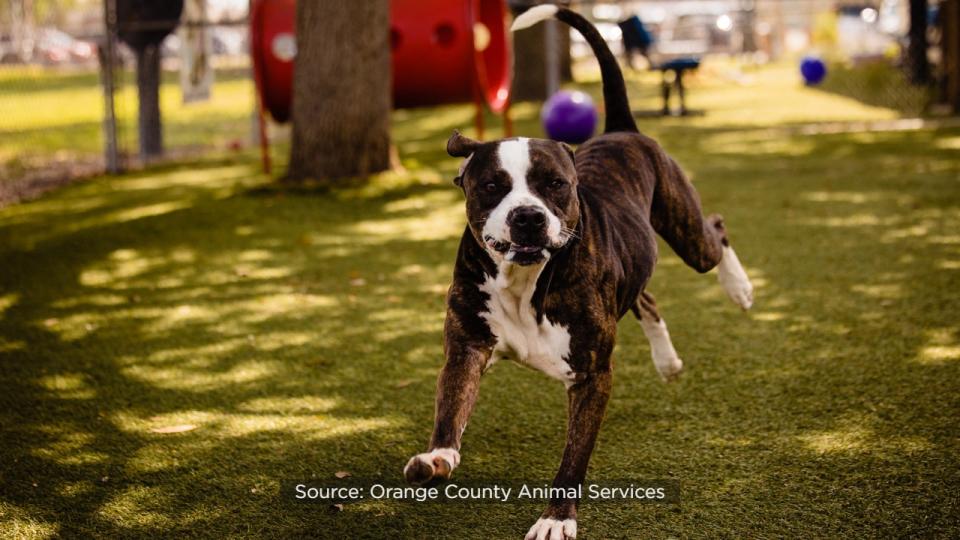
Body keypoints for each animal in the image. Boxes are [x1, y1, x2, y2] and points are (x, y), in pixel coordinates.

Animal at [402, 5, 752, 540]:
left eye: (555, 185)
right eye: (491, 186)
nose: (528, 216)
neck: (524, 282)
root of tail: (621, 129)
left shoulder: (591, 377)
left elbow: (573, 458)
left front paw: (555, 519)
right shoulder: (467, 348)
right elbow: (450, 407)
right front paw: (437, 456)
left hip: (687, 232)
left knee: (716, 228)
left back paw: (739, 289)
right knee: (646, 296)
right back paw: (668, 361)